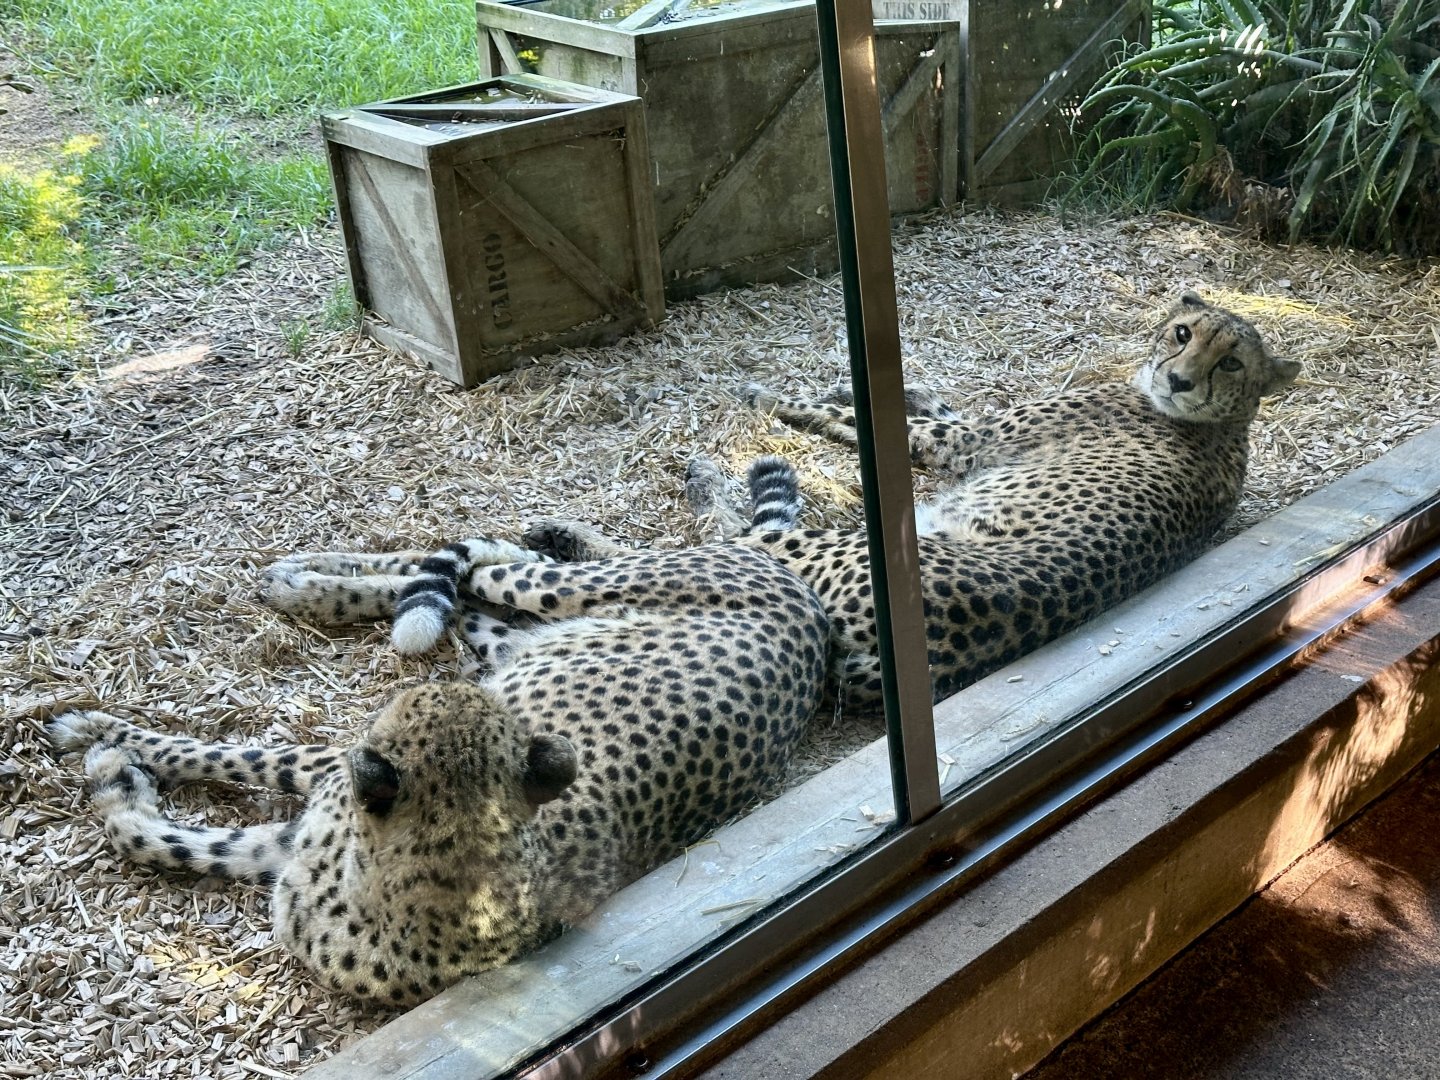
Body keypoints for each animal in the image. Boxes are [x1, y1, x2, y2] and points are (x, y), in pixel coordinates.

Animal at [45, 540, 829, 1006]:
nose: (446, 693)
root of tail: (811, 612)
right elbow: (180, 841)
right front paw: (116, 771)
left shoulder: (318, 802)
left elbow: (229, 771)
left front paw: (107, 747)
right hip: (536, 623)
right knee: (471, 560)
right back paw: (313, 576)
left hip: (551, 609)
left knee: (477, 574)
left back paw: (308, 584)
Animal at [521, 292, 1301, 713]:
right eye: (1183, 333)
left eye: (1232, 361)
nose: (1180, 378)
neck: (1226, 422)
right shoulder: (967, 431)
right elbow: (923, 402)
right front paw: (871, 385)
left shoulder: (968, 445)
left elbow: (863, 420)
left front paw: (775, 397)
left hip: (807, 550)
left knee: (714, 542)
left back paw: (618, 510)